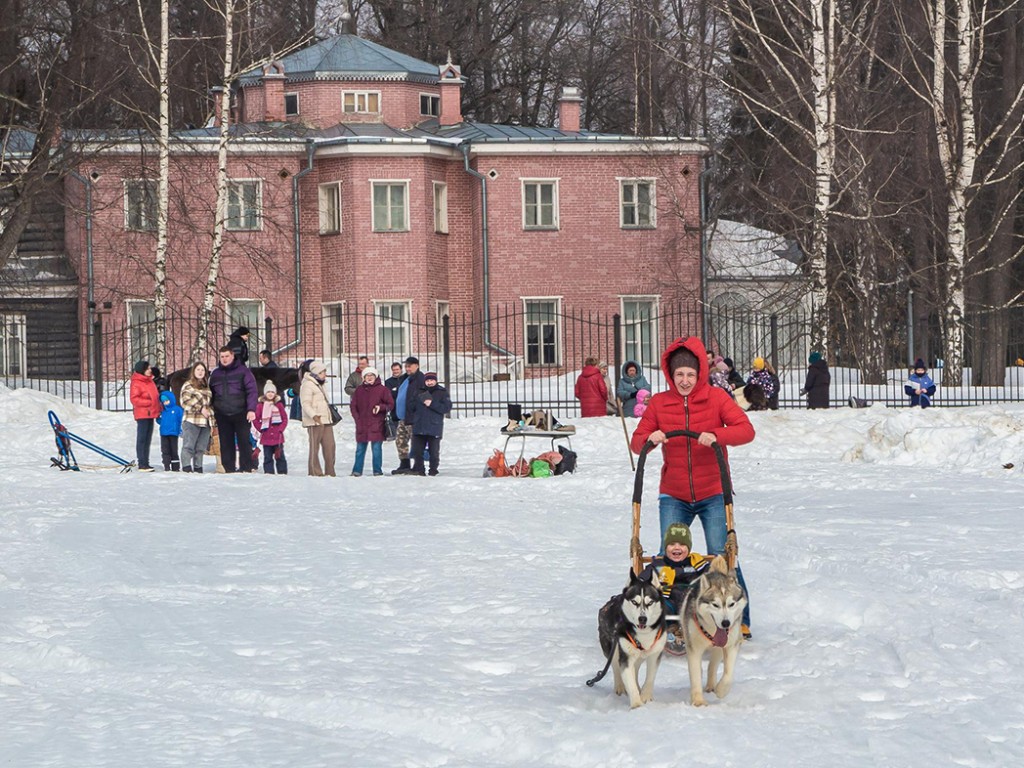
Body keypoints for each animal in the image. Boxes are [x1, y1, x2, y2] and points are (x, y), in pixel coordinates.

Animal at [598, 573, 667, 708]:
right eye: (634, 602)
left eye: (650, 602)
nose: (642, 619)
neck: (643, 635)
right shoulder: (626, 657)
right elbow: (630, 682)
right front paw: (637, 705)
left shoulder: (655, 654)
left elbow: (650, 677)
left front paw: (645, 697)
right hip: (613, 648)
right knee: (615, 666)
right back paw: (620, 687)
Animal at [679, 557, 753, 708]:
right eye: (715, 605)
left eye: (731, 604)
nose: (726, 623)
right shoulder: (694, 649)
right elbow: (695, 675)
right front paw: (698, 701)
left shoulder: (731, 646)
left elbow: (728, 673)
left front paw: (721, 690)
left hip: (719, 649)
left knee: (712, 666)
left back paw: (712, 685)